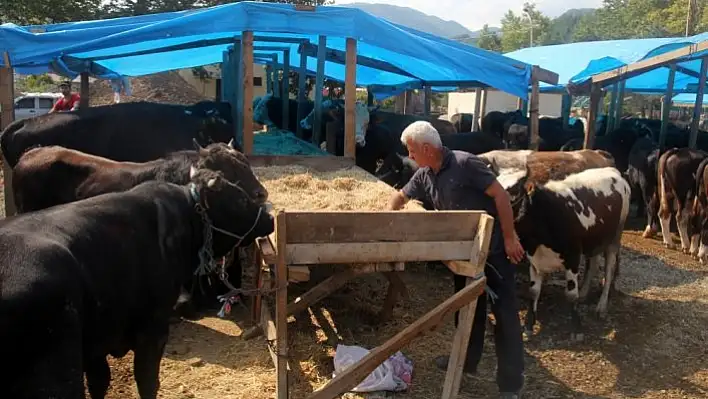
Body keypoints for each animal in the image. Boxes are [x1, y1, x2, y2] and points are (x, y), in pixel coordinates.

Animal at [0, 169, 276, 399]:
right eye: (240, 200)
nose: (269, 217)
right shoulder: (152, 330)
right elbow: (146, 381)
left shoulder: (98, 340)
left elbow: (100, 381)